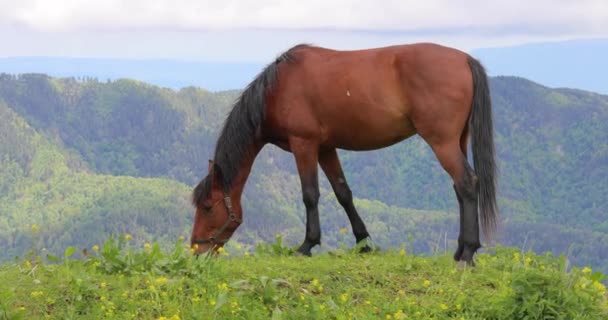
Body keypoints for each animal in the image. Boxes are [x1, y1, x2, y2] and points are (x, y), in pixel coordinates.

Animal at [191, 42, 498, 264]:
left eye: (207, 207)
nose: (196, 250)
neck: (278, 88)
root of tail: (464, 59)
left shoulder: (304, 145)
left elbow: (310, 195)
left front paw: (307, 245)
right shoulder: (326, 148)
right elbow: (343, 193)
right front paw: (363, 243)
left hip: (442, 142)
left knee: (467, 183)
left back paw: (468, 252)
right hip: (458, 141)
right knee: (460, 189)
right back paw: (460, 250)